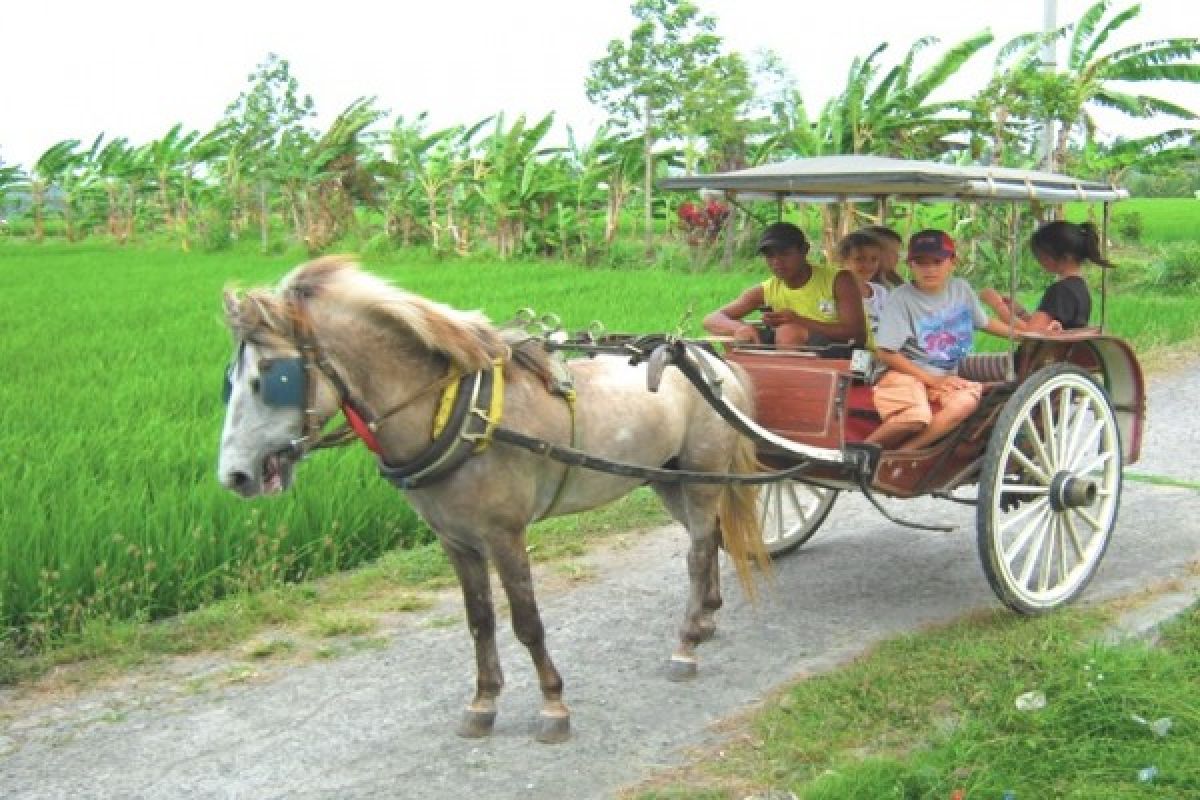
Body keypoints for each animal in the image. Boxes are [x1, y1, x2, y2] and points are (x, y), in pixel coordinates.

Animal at [217, 257, 763, 743]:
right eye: (229, 382)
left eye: (271, 377)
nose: (234, 475)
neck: (455, 413)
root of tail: (710, 358)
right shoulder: (455, 540)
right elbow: (479, 621)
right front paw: (483, 702)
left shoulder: (504, 534)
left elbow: (526, 621)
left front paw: (553, 705)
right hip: (669, 478)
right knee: (708, 539)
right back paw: (706, 617)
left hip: (702, 476)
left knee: (697, 550)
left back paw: (686, 644)